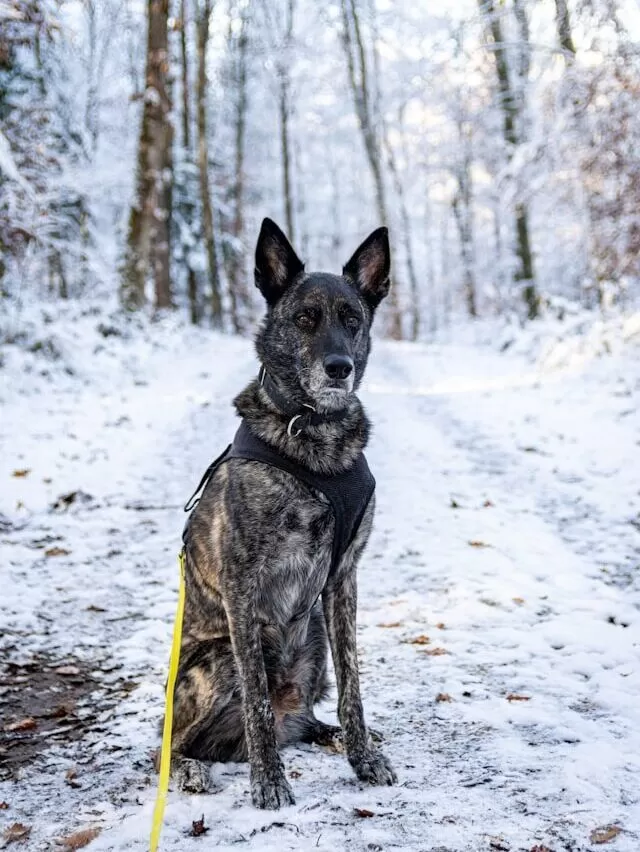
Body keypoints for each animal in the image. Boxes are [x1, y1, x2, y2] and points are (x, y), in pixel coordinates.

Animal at [172, 216, 398, 808]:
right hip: (218, 660)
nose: (339, 368)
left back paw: (332, 734)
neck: (315, 433)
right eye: (304, 319)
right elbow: (256, 701)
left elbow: (352, 685)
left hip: (311, 633)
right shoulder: (242, 584)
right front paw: (269, 782)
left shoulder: (343, 578)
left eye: (352, 320)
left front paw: (362, 756)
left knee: (302, 717)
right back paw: (190, 769)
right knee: (172, 744)